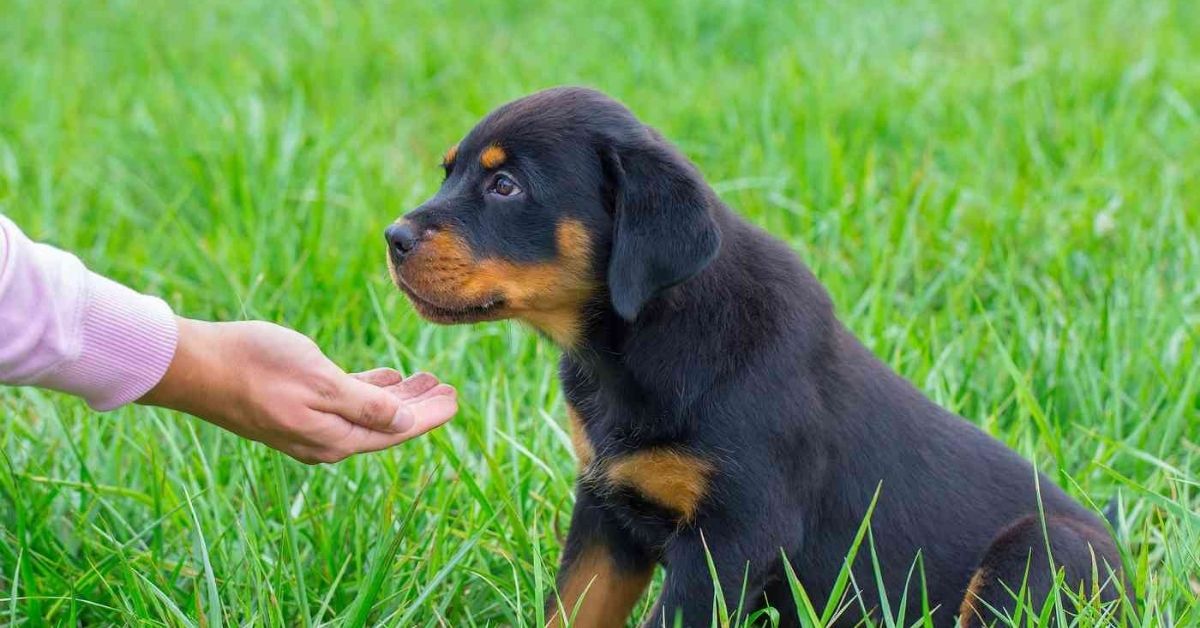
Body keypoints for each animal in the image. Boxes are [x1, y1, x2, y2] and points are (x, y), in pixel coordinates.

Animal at [384, 88, 1123, 628]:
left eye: (505, 185)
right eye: (449, 171)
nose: (391, 237)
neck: (634, 346)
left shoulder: (733, 535)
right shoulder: (607, 509)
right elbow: (573, 608)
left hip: (1043, 556)